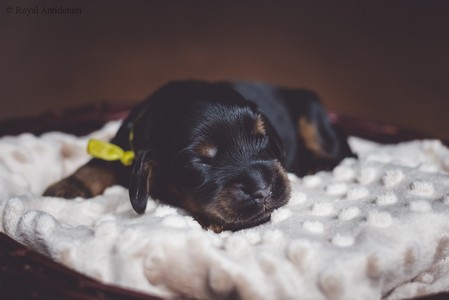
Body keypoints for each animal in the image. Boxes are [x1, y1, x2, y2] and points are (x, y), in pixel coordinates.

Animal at [45, 81, 354, 233]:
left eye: (261, 138)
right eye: (200, 162)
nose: (263, 190)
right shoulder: (122, 142)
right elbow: (100, 161)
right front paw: (67, 186)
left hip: (312, 113)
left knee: (339, 155)